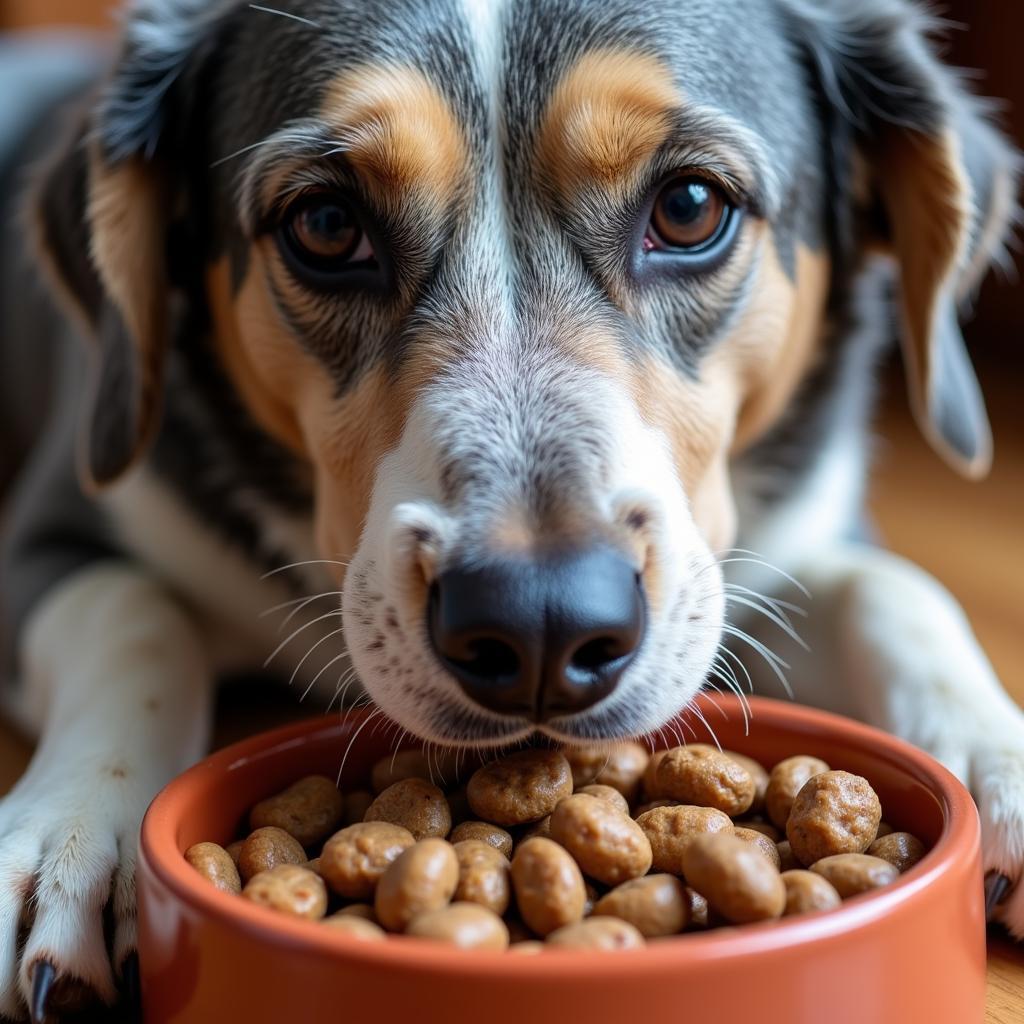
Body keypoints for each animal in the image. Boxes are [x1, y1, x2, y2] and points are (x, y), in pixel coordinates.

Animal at [0, 0, 1019, 1019]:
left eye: (689, 207)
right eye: (326, 224)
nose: (540, 625)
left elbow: (892, 589)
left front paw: (994, 752)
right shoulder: (45, 533)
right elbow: (132, 613)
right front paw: (76, 835)